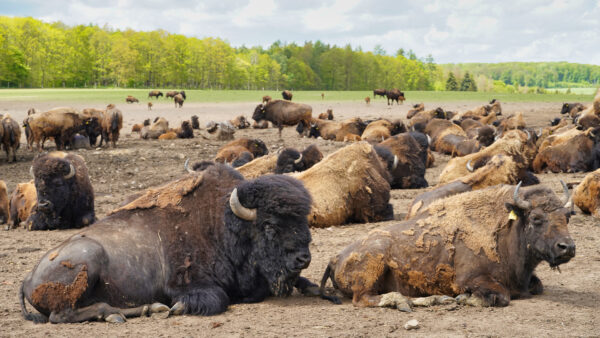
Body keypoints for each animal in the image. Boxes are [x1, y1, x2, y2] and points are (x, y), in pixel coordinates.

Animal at [19, 164, 332, 324]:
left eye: (302, 220)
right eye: (269, 225)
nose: (302, 258)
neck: (221, 224)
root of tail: (27, 279)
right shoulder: (185, 283)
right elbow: (217, 298)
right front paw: (179, 308)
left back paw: (148, 309)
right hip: (88, 259)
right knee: (62, 315)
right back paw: (128, 313)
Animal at [324, 184, 576, 310]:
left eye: (567, 216)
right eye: (536, 218)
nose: (568, 247)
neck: (504, 231)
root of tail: (336, 257)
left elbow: (538, 286)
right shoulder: (470, 279)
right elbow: (501, 297)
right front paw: (463, 299)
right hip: (373, 263)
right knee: (364, 299)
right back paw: (406, 302)